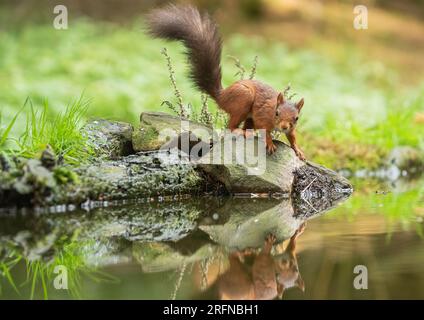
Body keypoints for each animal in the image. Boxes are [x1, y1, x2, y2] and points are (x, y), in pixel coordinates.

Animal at [146, 4, 304, 159]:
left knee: (245, 125)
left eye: (296, 118)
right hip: (243, 99)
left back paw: (247, 132)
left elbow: (292, 137)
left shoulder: (290, 129)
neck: (273, 109)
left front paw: (298, 150)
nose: (284, 127)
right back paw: (240, 131)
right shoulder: (262, 116)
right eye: (276, 113)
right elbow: (264, 130)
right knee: (230, 127)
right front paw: (270, 143)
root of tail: (222, 96)